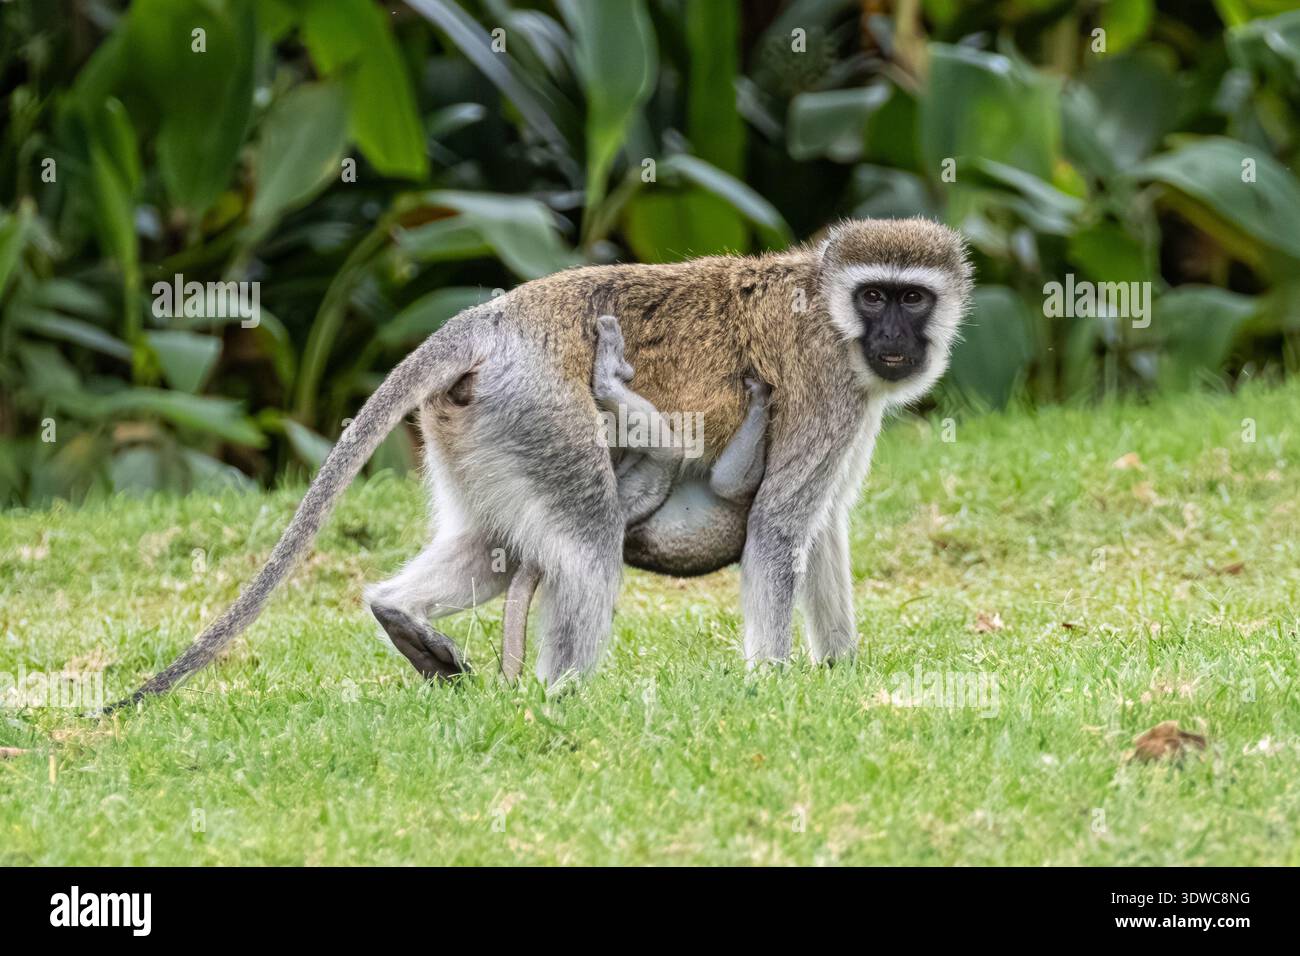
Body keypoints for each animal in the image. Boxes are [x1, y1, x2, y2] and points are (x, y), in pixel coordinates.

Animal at [499, 314, 771, 681]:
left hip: (635, 499)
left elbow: (727, 485)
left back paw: (606, 385)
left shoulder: (741, 496)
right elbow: (728, 484)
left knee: (670, 456)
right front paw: (761, 401)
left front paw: (760, 402)